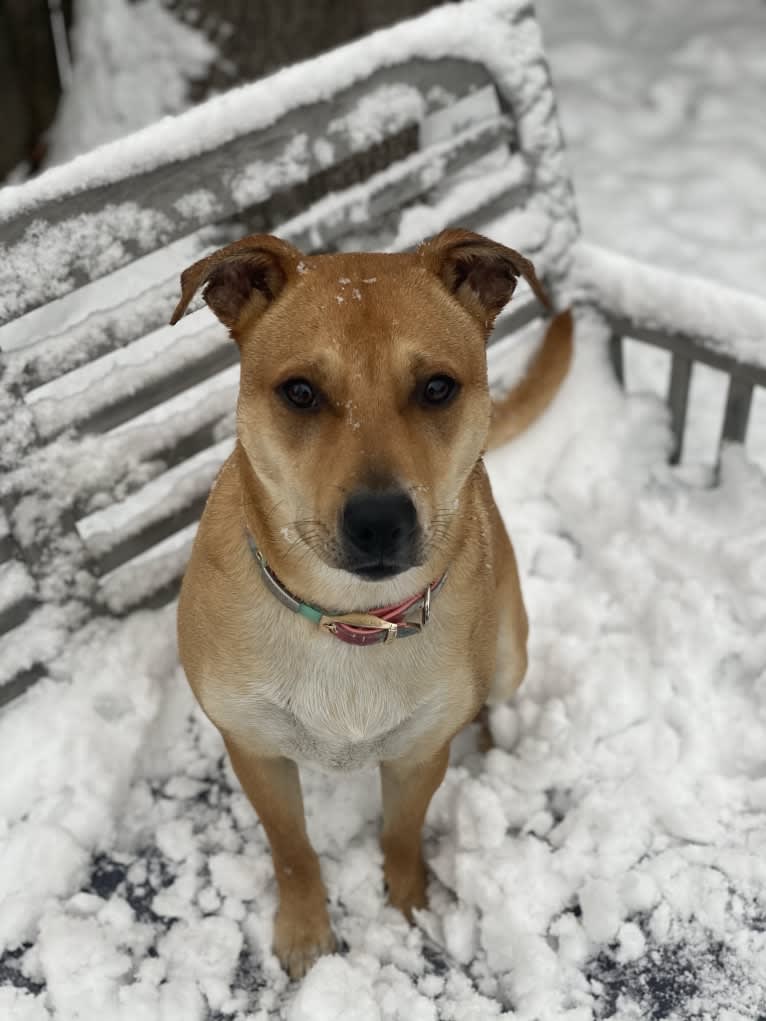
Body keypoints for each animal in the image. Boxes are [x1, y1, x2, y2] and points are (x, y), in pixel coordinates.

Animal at [170, 227, 571, 976]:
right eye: (300, 391)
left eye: (437, 387)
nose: (380, 520)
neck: (348, 616)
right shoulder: (254, 749)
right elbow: (292, 849)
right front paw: (305, 928)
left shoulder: (417, 757)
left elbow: (402, 834)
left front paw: (411, 904)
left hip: (509, 653)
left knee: (493, 696)